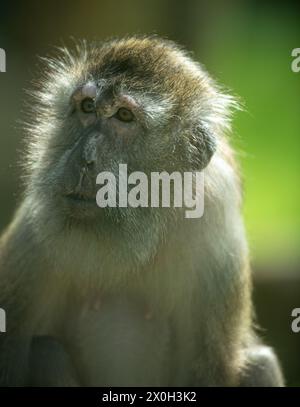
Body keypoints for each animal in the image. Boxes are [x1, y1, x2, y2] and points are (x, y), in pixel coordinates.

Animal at [0, 34, 284, 386]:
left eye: (124, 116)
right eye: (87, 107)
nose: (84, 158)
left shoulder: (217, 221)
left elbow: (212, 370)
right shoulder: (35, 225)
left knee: (261, 364)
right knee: (44, 351)